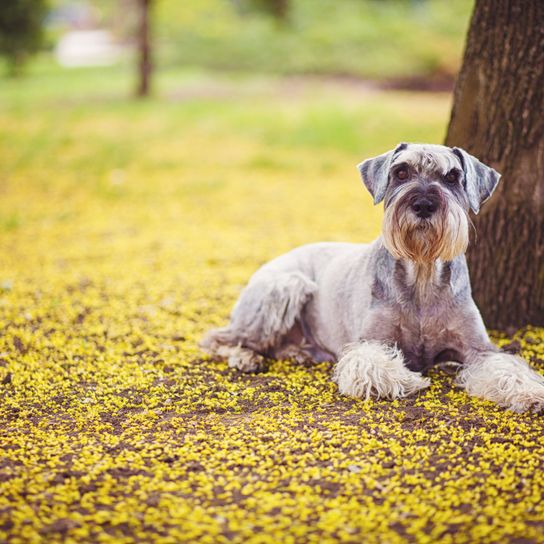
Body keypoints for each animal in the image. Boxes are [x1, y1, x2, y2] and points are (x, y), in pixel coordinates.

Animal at [201, 142, 544, 410]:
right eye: (401, 172)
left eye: (452, 177)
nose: (423, 204)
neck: (422, 274)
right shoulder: (369, 343)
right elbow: (373, 364)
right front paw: (410, 378)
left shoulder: (480, 350)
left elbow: (508, 368)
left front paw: (531, 393)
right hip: (285, 287)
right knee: (217, 338)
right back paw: (244, 357)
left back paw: (297, 352)